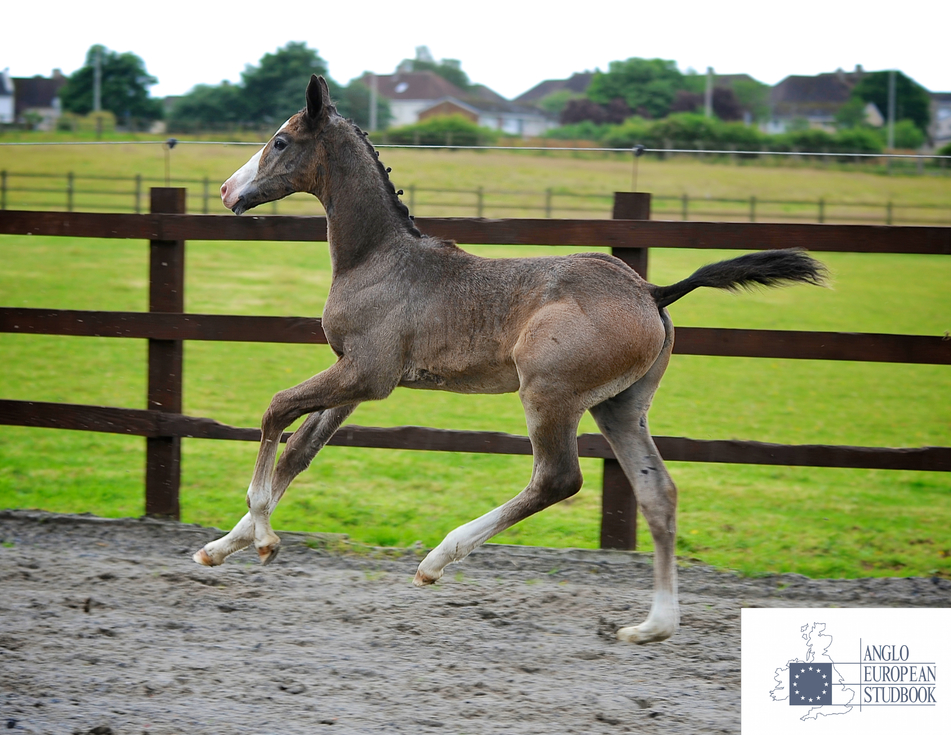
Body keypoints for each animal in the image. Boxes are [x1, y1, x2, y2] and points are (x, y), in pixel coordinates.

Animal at [194, 75, 826, 643]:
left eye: (280, 141)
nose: (227, 190)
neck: (378, 259)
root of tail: (651, 292)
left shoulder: (366, 375)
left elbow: (276, 411)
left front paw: (265, 540)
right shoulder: (356, 379)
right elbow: (298, 452)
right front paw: (220, 548)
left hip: (549, 395)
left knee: (558, 478)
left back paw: (438, 558)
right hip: (621, 407)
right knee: (658, 493)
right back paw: (653, 626)